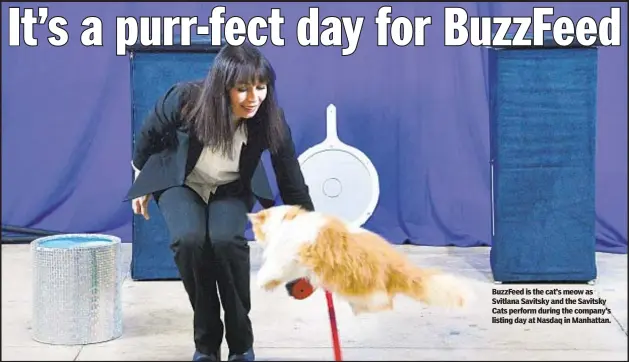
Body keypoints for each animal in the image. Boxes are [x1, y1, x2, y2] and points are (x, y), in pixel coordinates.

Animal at [248, 205, 474, 316]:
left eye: (256, 229)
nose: (256, 238)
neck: (287, 221)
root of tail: (396, 263)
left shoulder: (287, 256)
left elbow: (270, 269)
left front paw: (262, 282)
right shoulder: (295, 263)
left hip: (367, 289)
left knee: (385, 304)